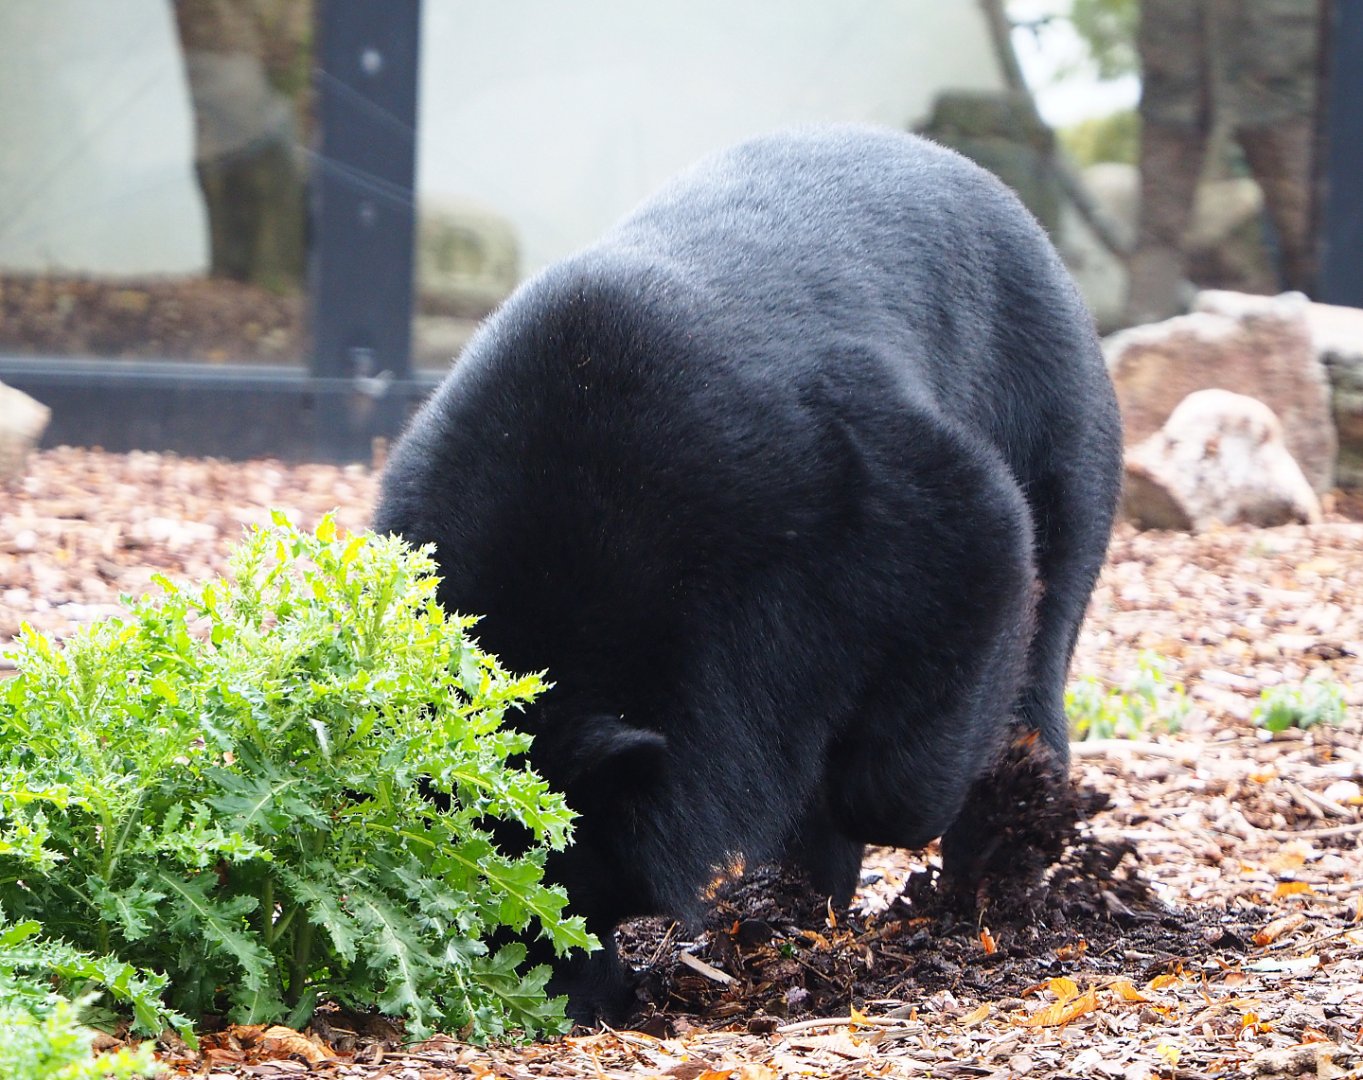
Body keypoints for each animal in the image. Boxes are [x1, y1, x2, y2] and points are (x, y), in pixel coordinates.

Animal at [373, 125, 1123, 1023]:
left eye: (564, 893)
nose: (571, 1002)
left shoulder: (849, 484)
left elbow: (978, 553)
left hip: (1061, 425)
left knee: (1038, 651)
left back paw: (999, 864)